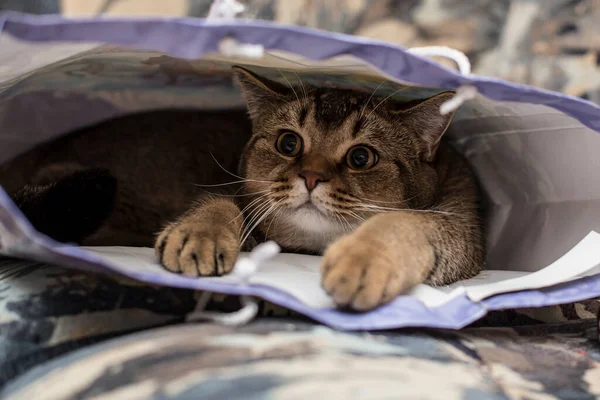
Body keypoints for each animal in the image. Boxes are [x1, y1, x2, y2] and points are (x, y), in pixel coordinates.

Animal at [0, 65, 486, 310]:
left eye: (361, 157)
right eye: (289, 143)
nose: (311, 177)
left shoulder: (459, 230)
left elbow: (403, 224)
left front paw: (364, 260)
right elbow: (221, 202)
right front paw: (199, 233)